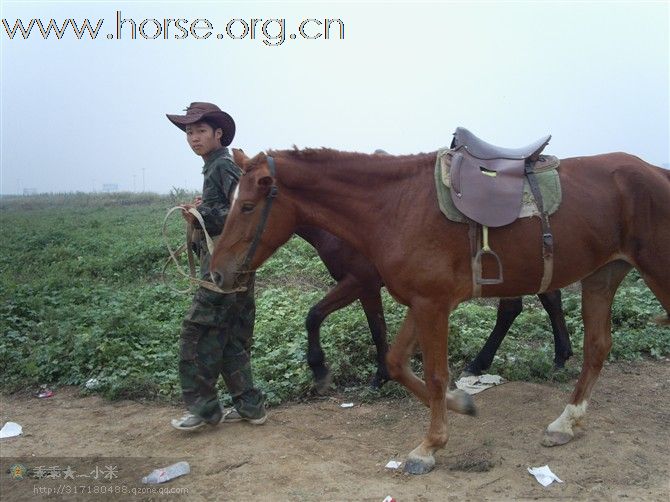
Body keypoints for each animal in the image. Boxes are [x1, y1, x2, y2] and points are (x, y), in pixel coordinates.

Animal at [300, 224, 572, 392]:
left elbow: (364, 327)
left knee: (514, 308)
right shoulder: (362, 285)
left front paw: (377, 376)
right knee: (547, 299)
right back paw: (560, 356)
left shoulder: (361, 282)